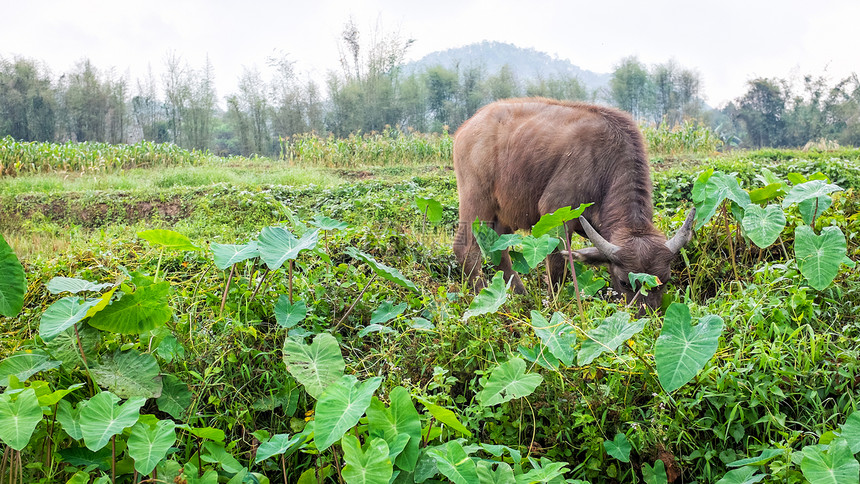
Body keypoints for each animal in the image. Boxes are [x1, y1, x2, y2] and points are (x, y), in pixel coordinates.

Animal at [454, 97, 696, 310]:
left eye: (665, 280)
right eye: (624, 282)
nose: (646, 315)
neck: (604, 166)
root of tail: (466, 128)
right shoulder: (555, 215)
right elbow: (557, 266)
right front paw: (554, 304)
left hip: (504, 214)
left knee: (498, 251)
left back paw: (520, 294)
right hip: (476, 202)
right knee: (466, 249)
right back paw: (482, 295)